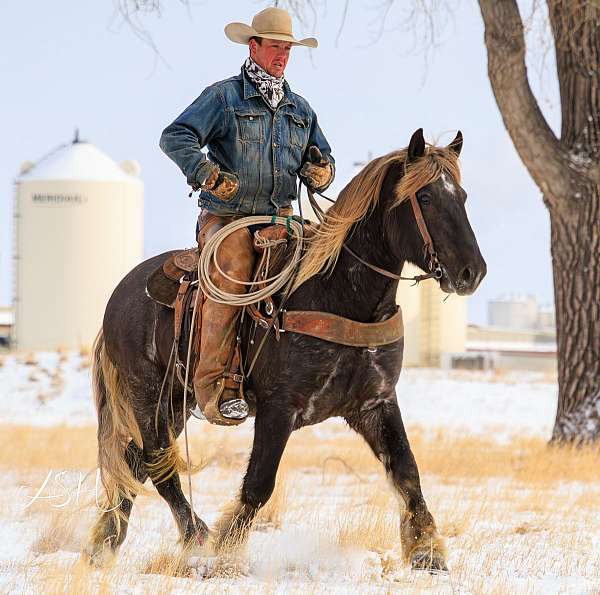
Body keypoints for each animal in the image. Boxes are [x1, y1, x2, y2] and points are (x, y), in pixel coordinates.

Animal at [86, 130, 486, 572]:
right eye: (426, 197)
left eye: (462, 196)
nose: (471, 272)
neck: (339, 296)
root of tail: (120, 294)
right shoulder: (279, 408)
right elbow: (259, 482)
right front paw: (227, 552)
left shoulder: (376, 404)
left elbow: (406, 471)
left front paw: (426, 551)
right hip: (148, 397)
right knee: (159, 465)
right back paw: (196, 538)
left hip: (175, 403)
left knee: (136, 463)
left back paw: (105, 543)